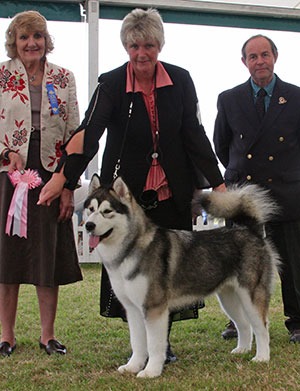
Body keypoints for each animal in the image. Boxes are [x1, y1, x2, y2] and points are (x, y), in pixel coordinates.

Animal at [84, 176, 278, 378]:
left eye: (107, 211)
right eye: (90, 209)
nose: (88, 225)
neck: (129, 250)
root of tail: (251, 231)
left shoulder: (154, 308)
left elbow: (154, 345)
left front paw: (151, 371)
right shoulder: (133, 309)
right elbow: (137, 343)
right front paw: (133, 366)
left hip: (251, 296)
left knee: (262, 327)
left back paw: (262, 357)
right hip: (229, 299)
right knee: (244, 324)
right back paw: (242, 349)